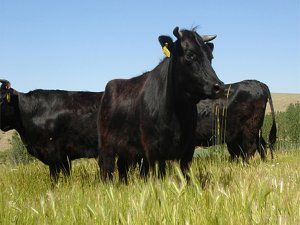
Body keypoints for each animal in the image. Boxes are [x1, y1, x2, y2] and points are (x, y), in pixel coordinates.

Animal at [97, 26, 224, 183]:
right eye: (190, 55)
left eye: (210, 57)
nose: (218, 86)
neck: (177, 113)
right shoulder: (153, 149)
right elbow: (159, 176)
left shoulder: (188, 147)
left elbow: (185, 174)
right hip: (106, 144)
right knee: (107, 168)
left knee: (122, 166)